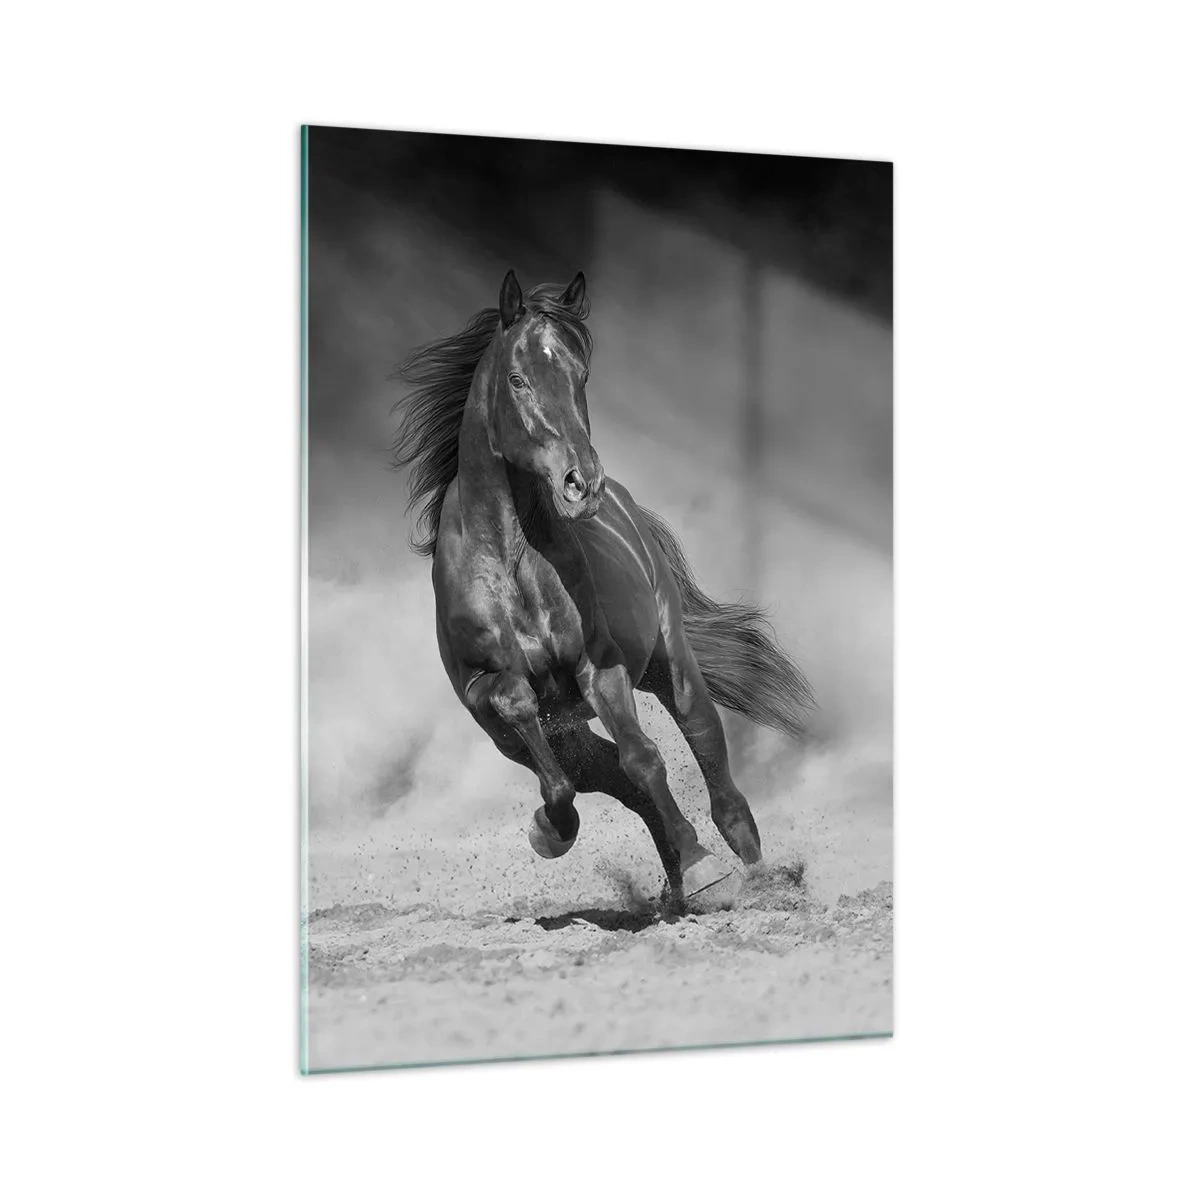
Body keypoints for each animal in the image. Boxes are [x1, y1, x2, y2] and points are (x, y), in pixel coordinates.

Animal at [392, 270, 813, 909]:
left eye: (580, 375)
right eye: (517, 378)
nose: (581, 482)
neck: (511, 563)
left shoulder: (600, 667)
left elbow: (645, 759)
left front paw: (705, 869)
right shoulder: (484, 696)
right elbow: (544, 743)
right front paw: (550, 830)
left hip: (672, 666)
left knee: (709, 763)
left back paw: (751, 878)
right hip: (547, 735)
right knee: (606, 778)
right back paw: (672, 884)